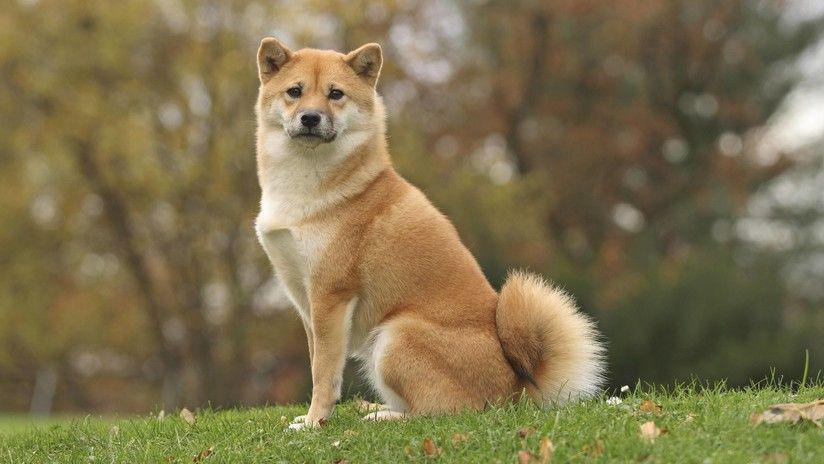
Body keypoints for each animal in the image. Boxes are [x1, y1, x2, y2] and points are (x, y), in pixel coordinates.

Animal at [253, 38, 604, 430]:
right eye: (294, 92)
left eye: (336, 94)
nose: (310, 118)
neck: (308, 186)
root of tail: (514, 391)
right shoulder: (306, 299)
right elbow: (317, 362)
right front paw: (312, 418)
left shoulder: (331, 296)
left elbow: (324, 372)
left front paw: (316, 422)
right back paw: (378, 409)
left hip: (395, 335)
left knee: (442, 411)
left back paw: (385, 417)